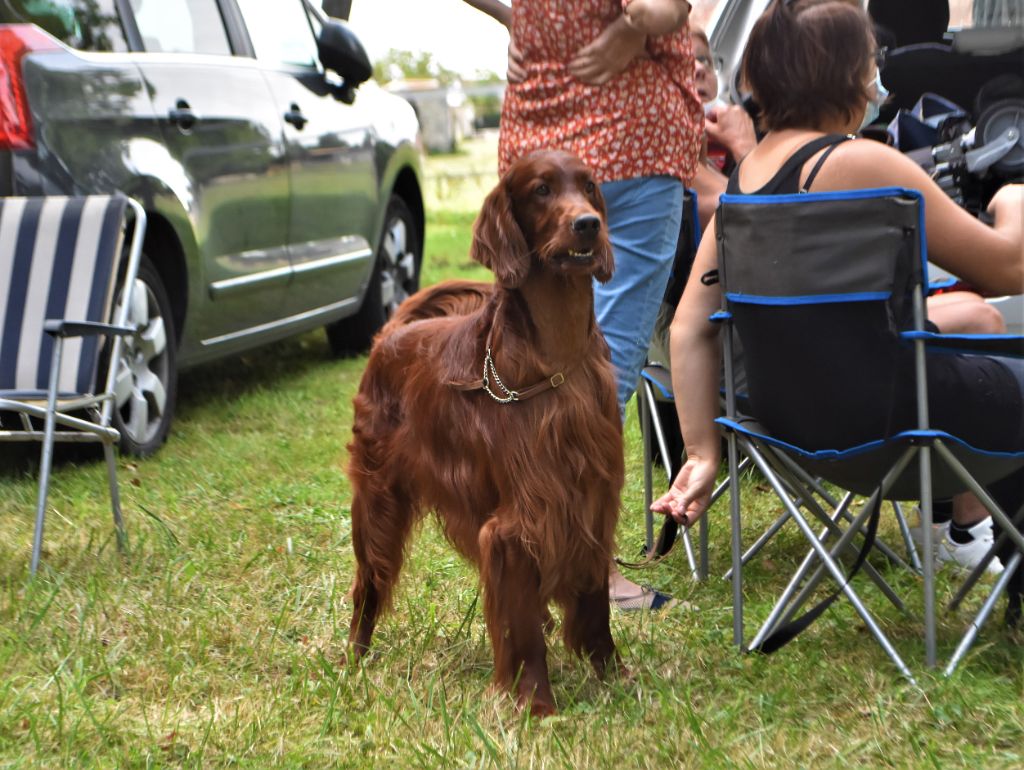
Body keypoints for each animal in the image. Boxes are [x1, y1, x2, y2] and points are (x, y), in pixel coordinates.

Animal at [346, 149, 625, 717]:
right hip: (377, 503)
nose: (588, 224)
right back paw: (354, 658)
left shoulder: (591, 500)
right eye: (541, 190)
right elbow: (520, 629)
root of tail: (392, 332)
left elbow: (593, 606)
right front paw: (536, 704)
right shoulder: (518, 522)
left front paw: (614, 675)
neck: (556, 360)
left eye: (589, 186)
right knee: (369, 583)